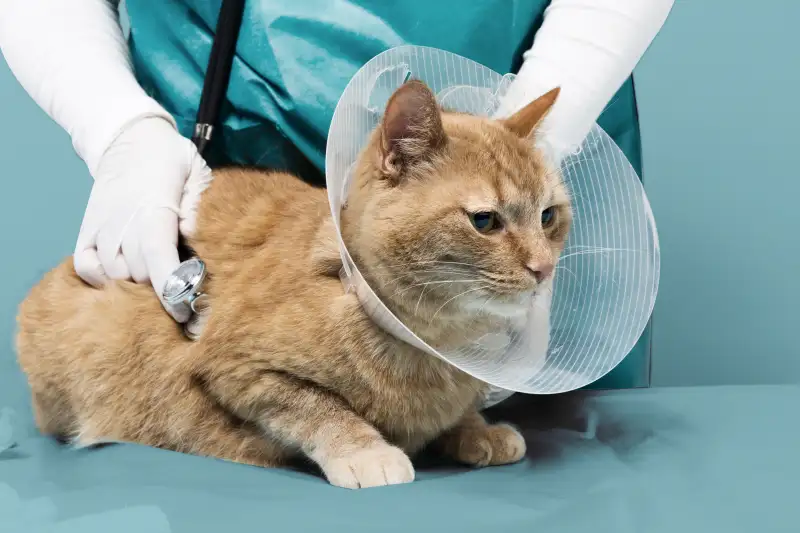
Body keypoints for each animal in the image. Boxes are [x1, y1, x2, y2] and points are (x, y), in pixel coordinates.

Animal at [15, 81, 572, 488]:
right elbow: (317, 407)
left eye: (547, 216)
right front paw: (366, 451)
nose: (543, 268)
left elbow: (455, 416)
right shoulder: (243, 368)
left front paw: (475, 430)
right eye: (484, 221)